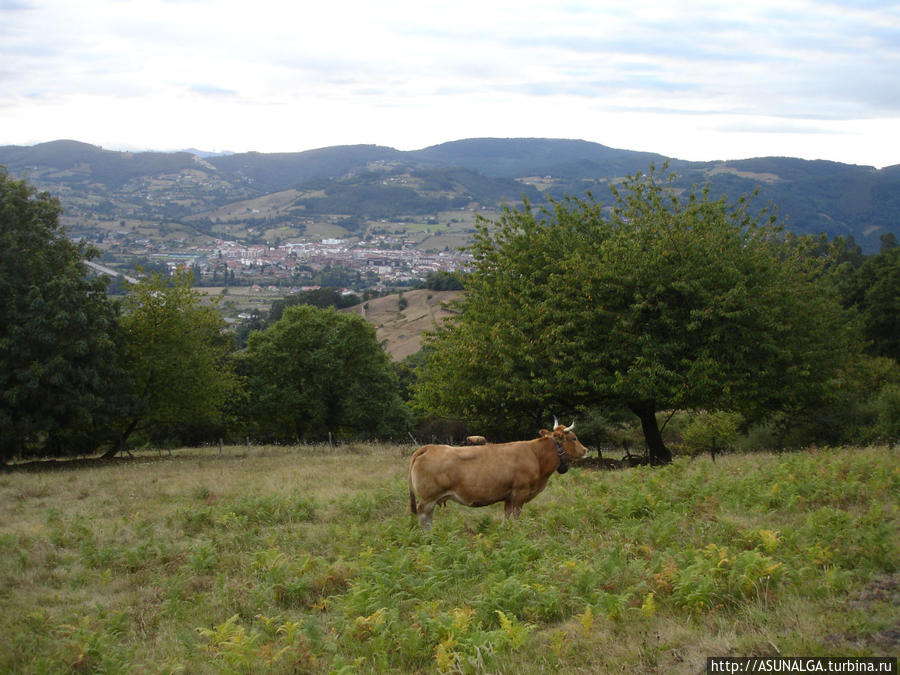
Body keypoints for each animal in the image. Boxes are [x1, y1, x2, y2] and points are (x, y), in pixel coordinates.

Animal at [408, 422, 592, 528]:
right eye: (574, 438)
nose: (586, 450)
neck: (536, 455)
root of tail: (430, 447)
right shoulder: (520, 493)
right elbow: (516, 516)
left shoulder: (508, 496)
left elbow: (507, 516)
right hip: (428, 498)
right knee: (424, 516)